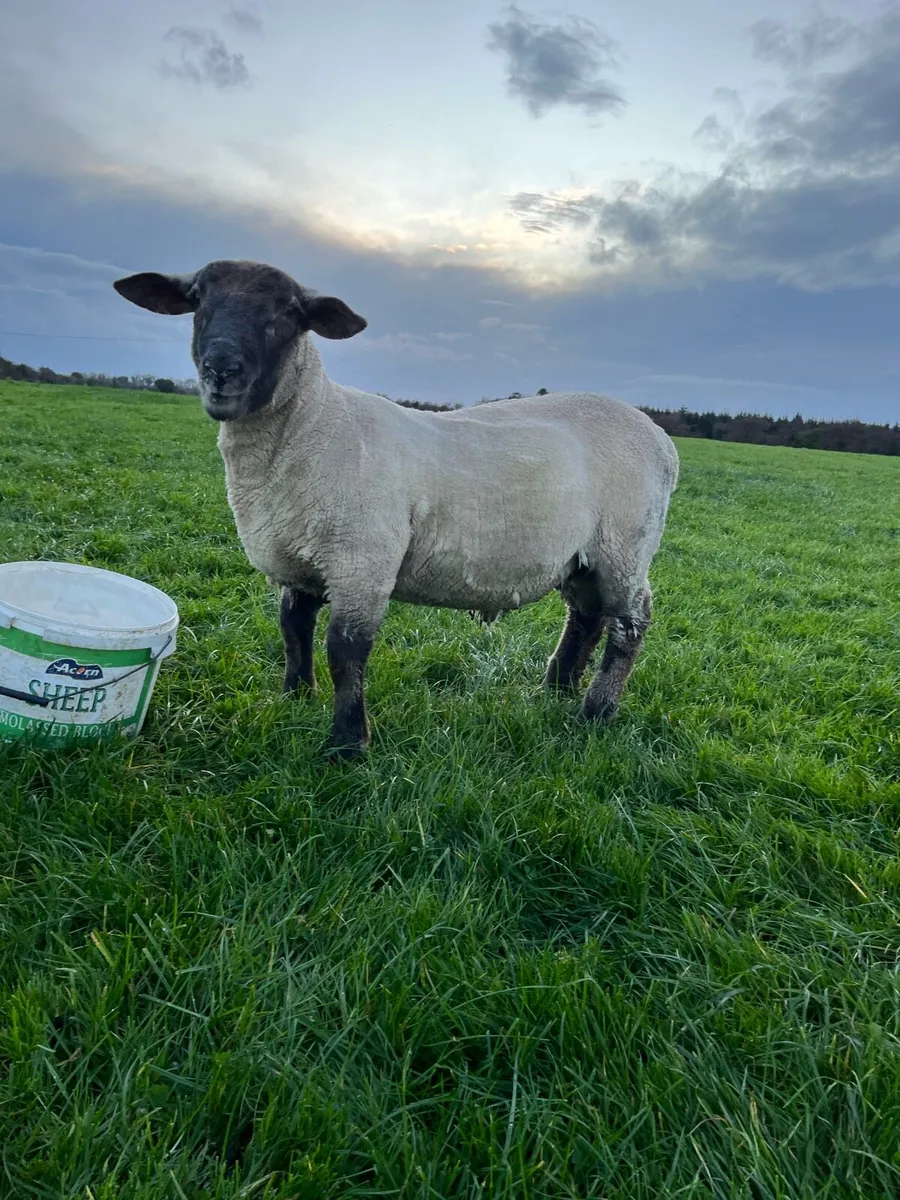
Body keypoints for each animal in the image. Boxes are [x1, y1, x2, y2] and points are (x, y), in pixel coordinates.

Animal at [113, 259, 679, 758]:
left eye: (288, 312)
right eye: (197, 300)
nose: (221, 370)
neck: (312, 427)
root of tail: (661, 438)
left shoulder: (363, 561)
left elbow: (345, 651)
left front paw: (346, 746)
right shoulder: (300, 562)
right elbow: (293, 631)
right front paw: (296, 699)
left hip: (625, 547)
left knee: (629, 624)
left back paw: (595, 712)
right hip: (581, 556)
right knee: (586, 615)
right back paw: (557, 689)